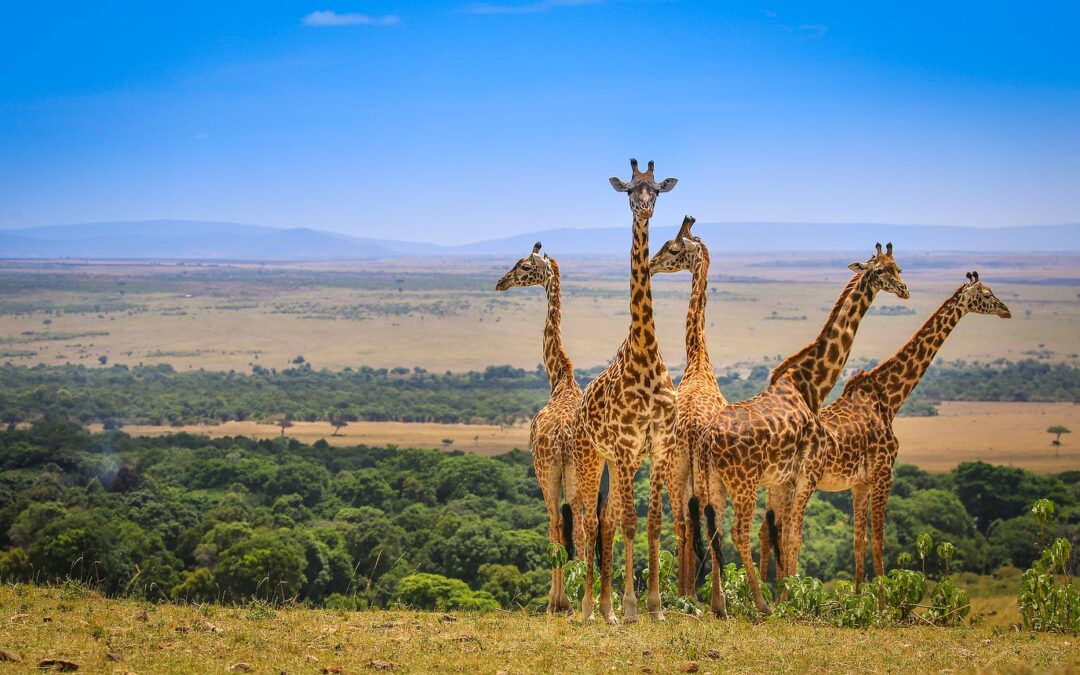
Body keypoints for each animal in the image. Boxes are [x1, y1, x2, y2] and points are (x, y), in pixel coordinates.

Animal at [695, 245, 907, 613]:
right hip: (744, 482)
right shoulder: (806, 473)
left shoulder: (784, 479)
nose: (904, 289)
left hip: (714, 482)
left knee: (716, 530)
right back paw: (760, 604)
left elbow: (783, 534)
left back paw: (720, 606)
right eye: (879, 271)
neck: (809, 385)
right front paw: (791, 600)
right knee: (738, 532)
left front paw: (789, 594)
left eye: (898, 268)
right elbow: (794, 535)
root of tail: (709, 438)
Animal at [760, 268, 1010, 583]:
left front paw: (858, 592)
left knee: (767, 532)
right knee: (782, 533)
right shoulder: (884, 472)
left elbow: (859, 542)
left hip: (776, 485)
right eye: (987, 294)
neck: (889, 398)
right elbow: (879, 542)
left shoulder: (860, 482)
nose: (1006, 310)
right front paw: (882, 596)